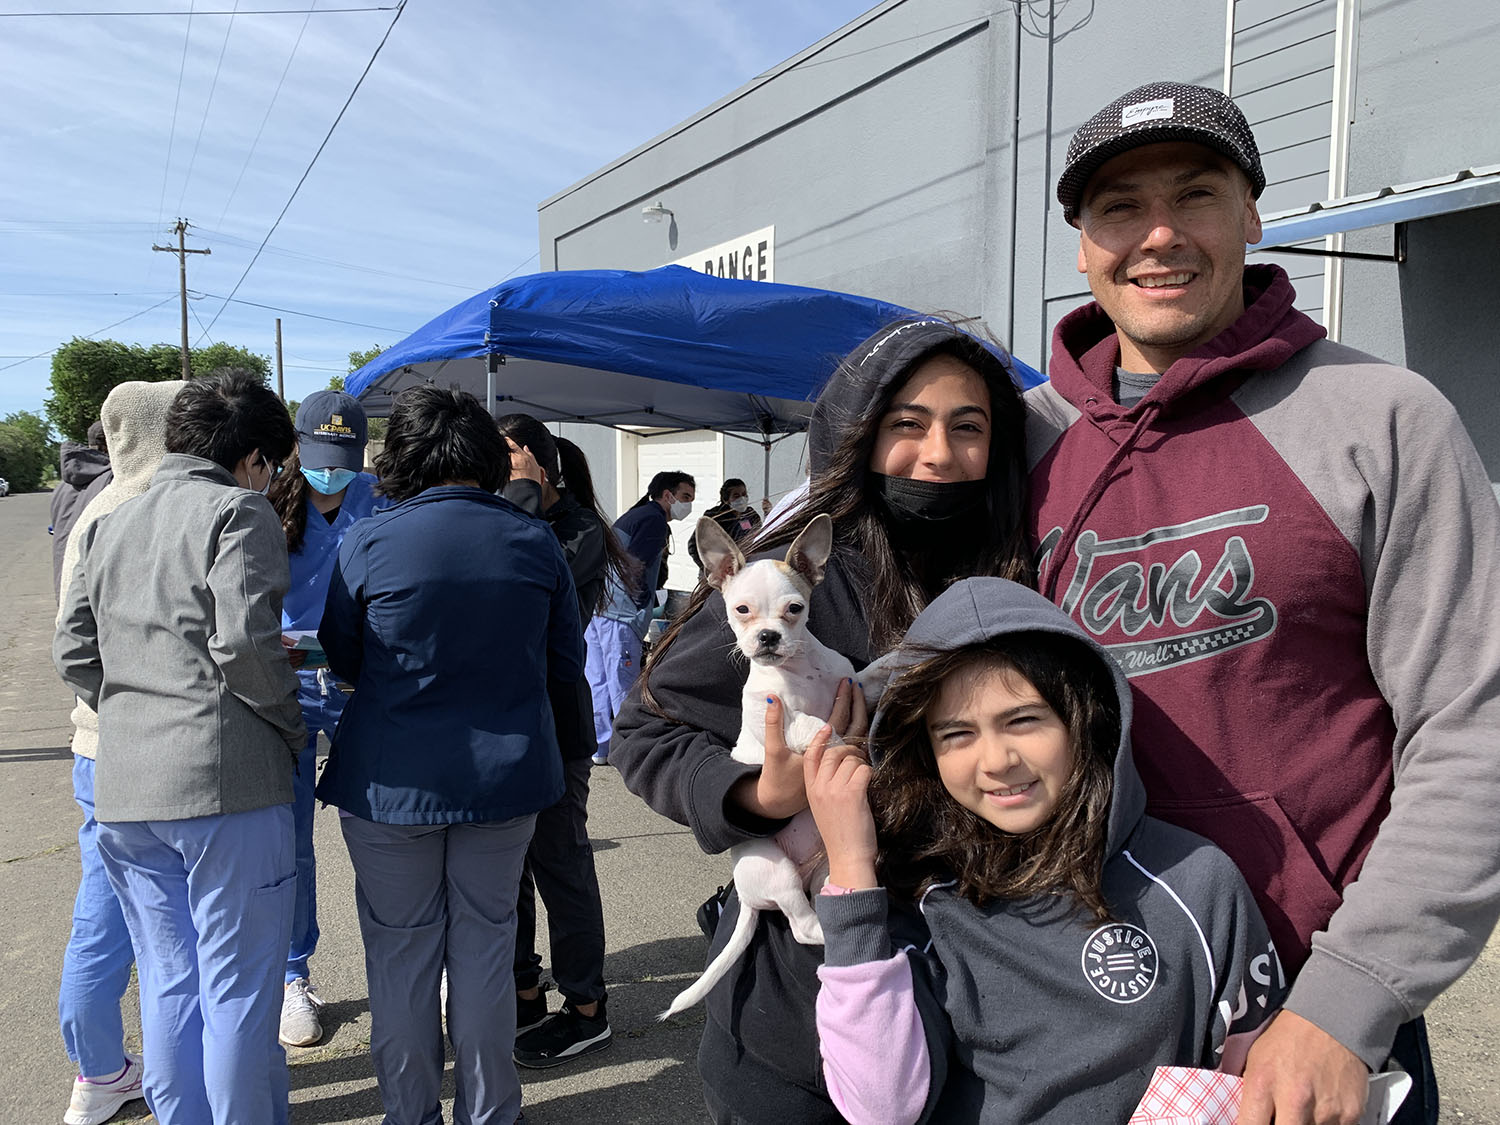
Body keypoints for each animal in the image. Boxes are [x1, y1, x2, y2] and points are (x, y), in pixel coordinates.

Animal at [663, 516, 864, 1026]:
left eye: (795, 609)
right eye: (741, 611)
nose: (768, 637)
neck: (799, 670)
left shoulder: (850, 681)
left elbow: (868, 677)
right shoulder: (779, 719)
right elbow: (814, 725)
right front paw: (838, 743)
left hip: (821, 865)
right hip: (778, 874)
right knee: (803, 927)